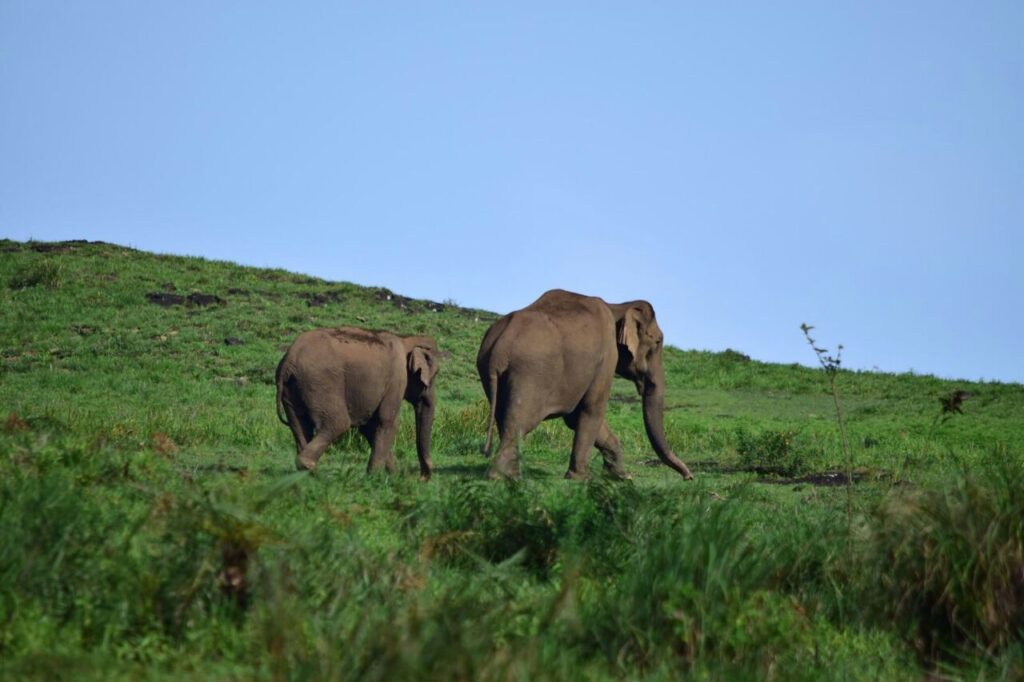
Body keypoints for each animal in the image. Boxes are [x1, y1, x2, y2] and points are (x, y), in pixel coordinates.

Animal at [276, 327, 442, 478]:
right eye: (434, 375)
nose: (421, 478)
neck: (405, 338)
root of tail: (288, 360)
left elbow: (370, 427)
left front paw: (393, 477)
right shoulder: (396, 378)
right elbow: (387, 421)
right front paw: (374, 478)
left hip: (293, 389)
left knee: (299, 426)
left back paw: (307, 477)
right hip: (320, 383)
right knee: (338, 423)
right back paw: (314, 472)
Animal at [477, 289, 694, 481]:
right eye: (657, 342)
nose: (689, 477)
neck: (617, 306)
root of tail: (499, 348)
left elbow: (576, 417)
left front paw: (621, 477)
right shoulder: (606, 357)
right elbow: (591, 410)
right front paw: (581, 478)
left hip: (491, 373)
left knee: (504, 419)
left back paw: (512, 476)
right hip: (530, 373)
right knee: (520, 422)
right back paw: (499, 477)